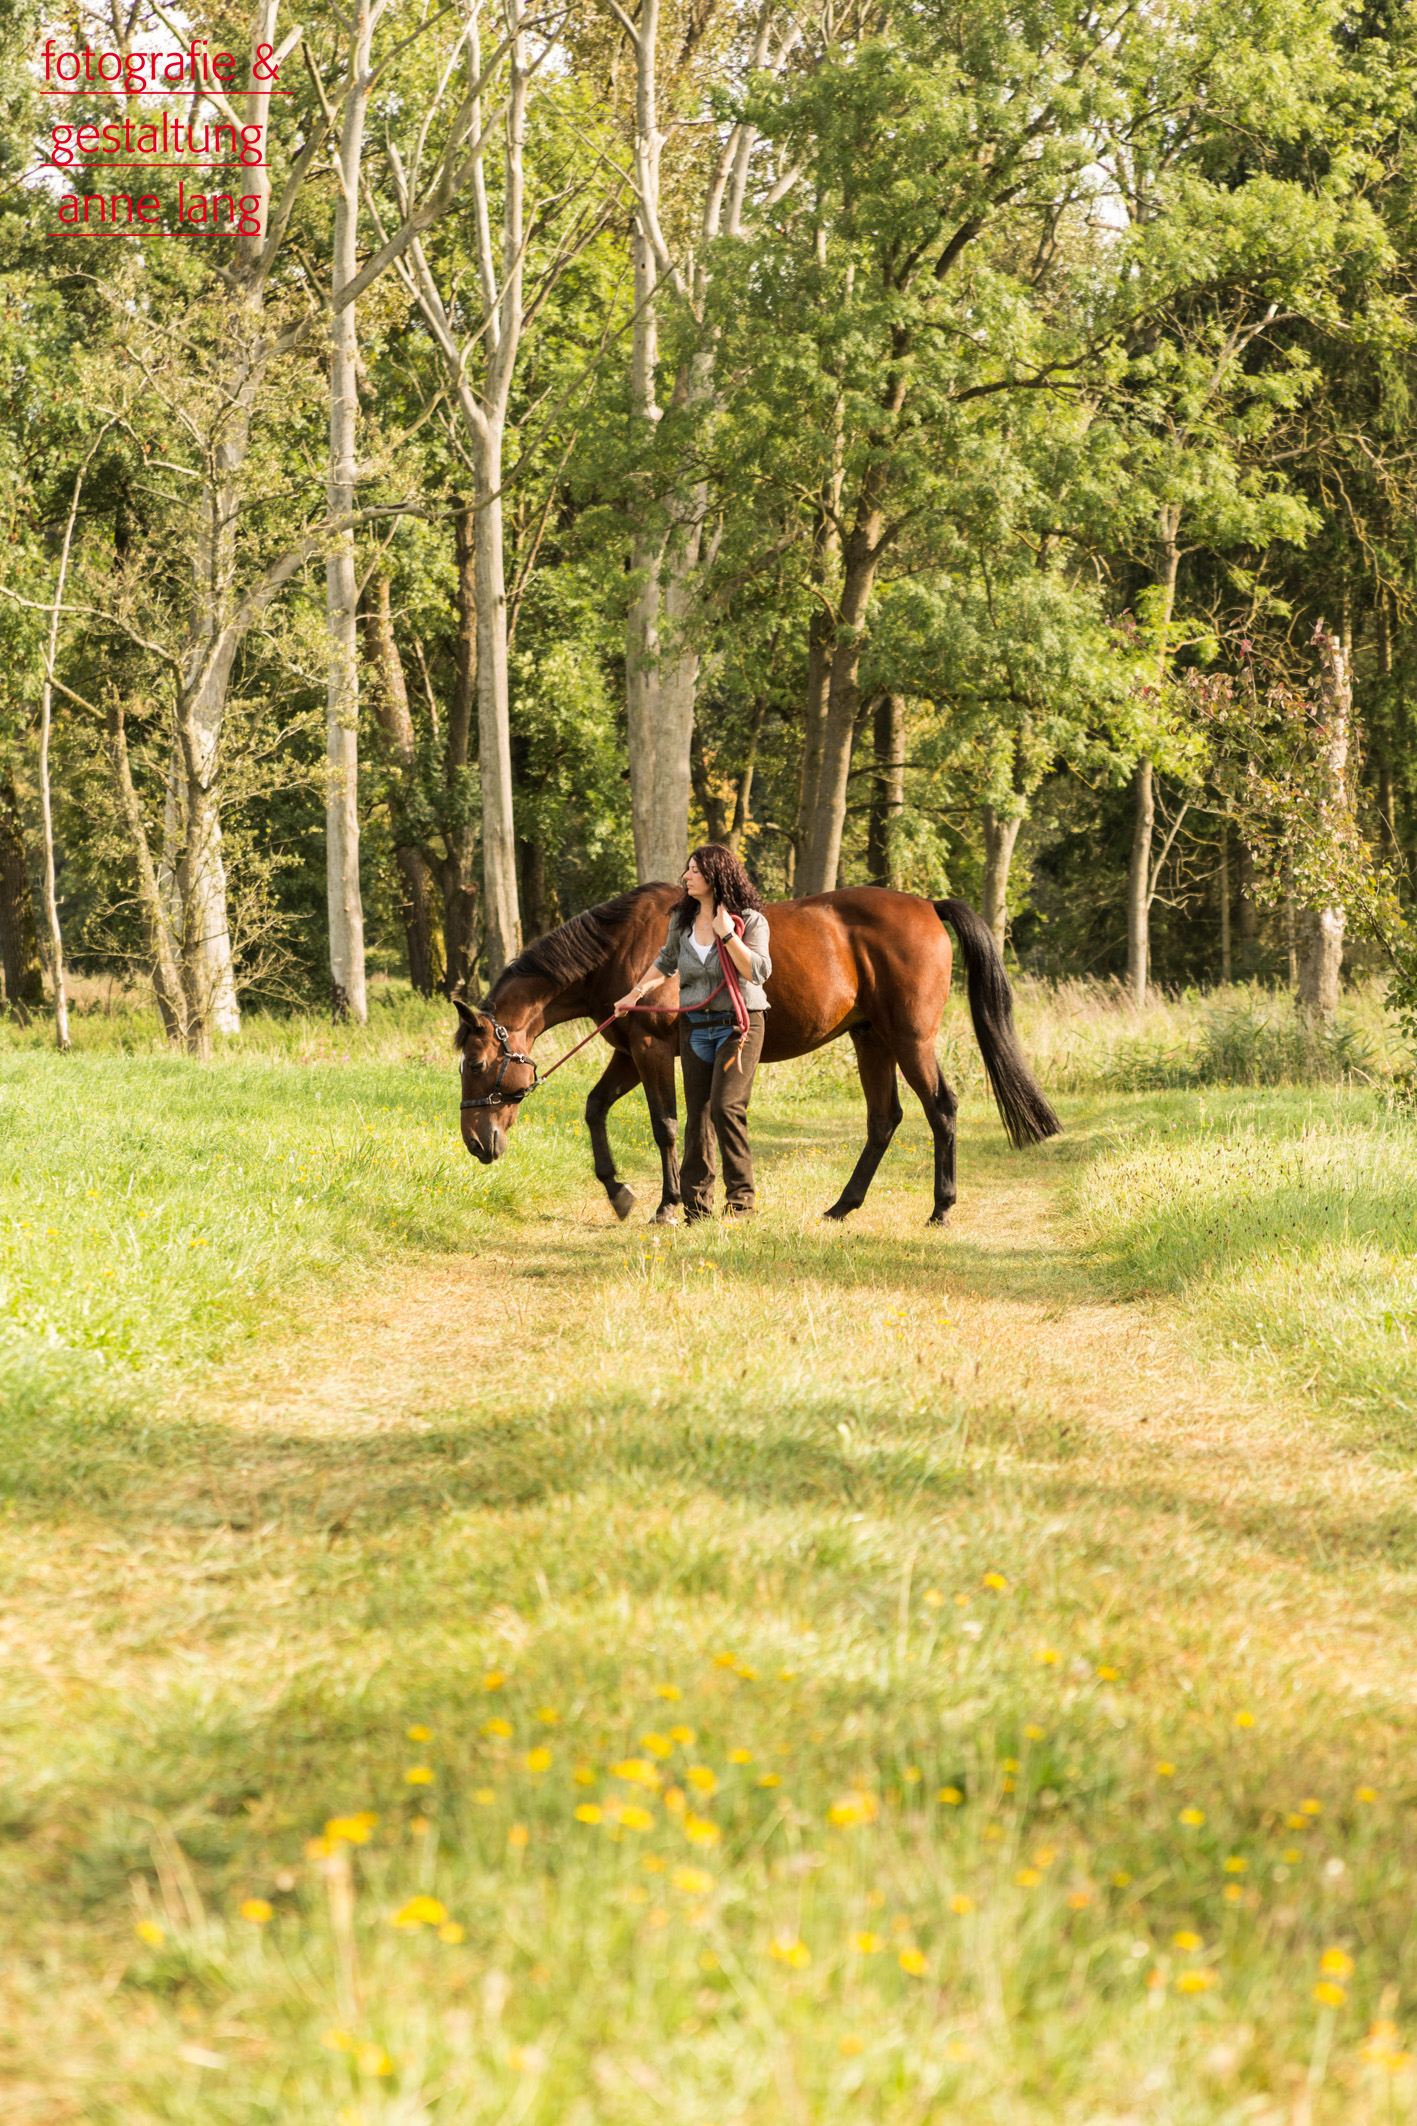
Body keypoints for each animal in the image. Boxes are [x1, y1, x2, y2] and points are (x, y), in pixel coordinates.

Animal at [453, 883, 1060, 1225]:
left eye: (477, 1064)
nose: (477, 1144)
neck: (623, 946)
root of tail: (929, 908)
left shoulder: (650, 1051)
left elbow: (665, 1125)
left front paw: (666, 1205)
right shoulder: (630, 1053)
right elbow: (597, 1108)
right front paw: (622, 1193)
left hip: (912, 1041)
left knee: (942, 1111)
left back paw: (940, 1208)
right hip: (872, 1041)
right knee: (884, 1120)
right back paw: (842, 1207)